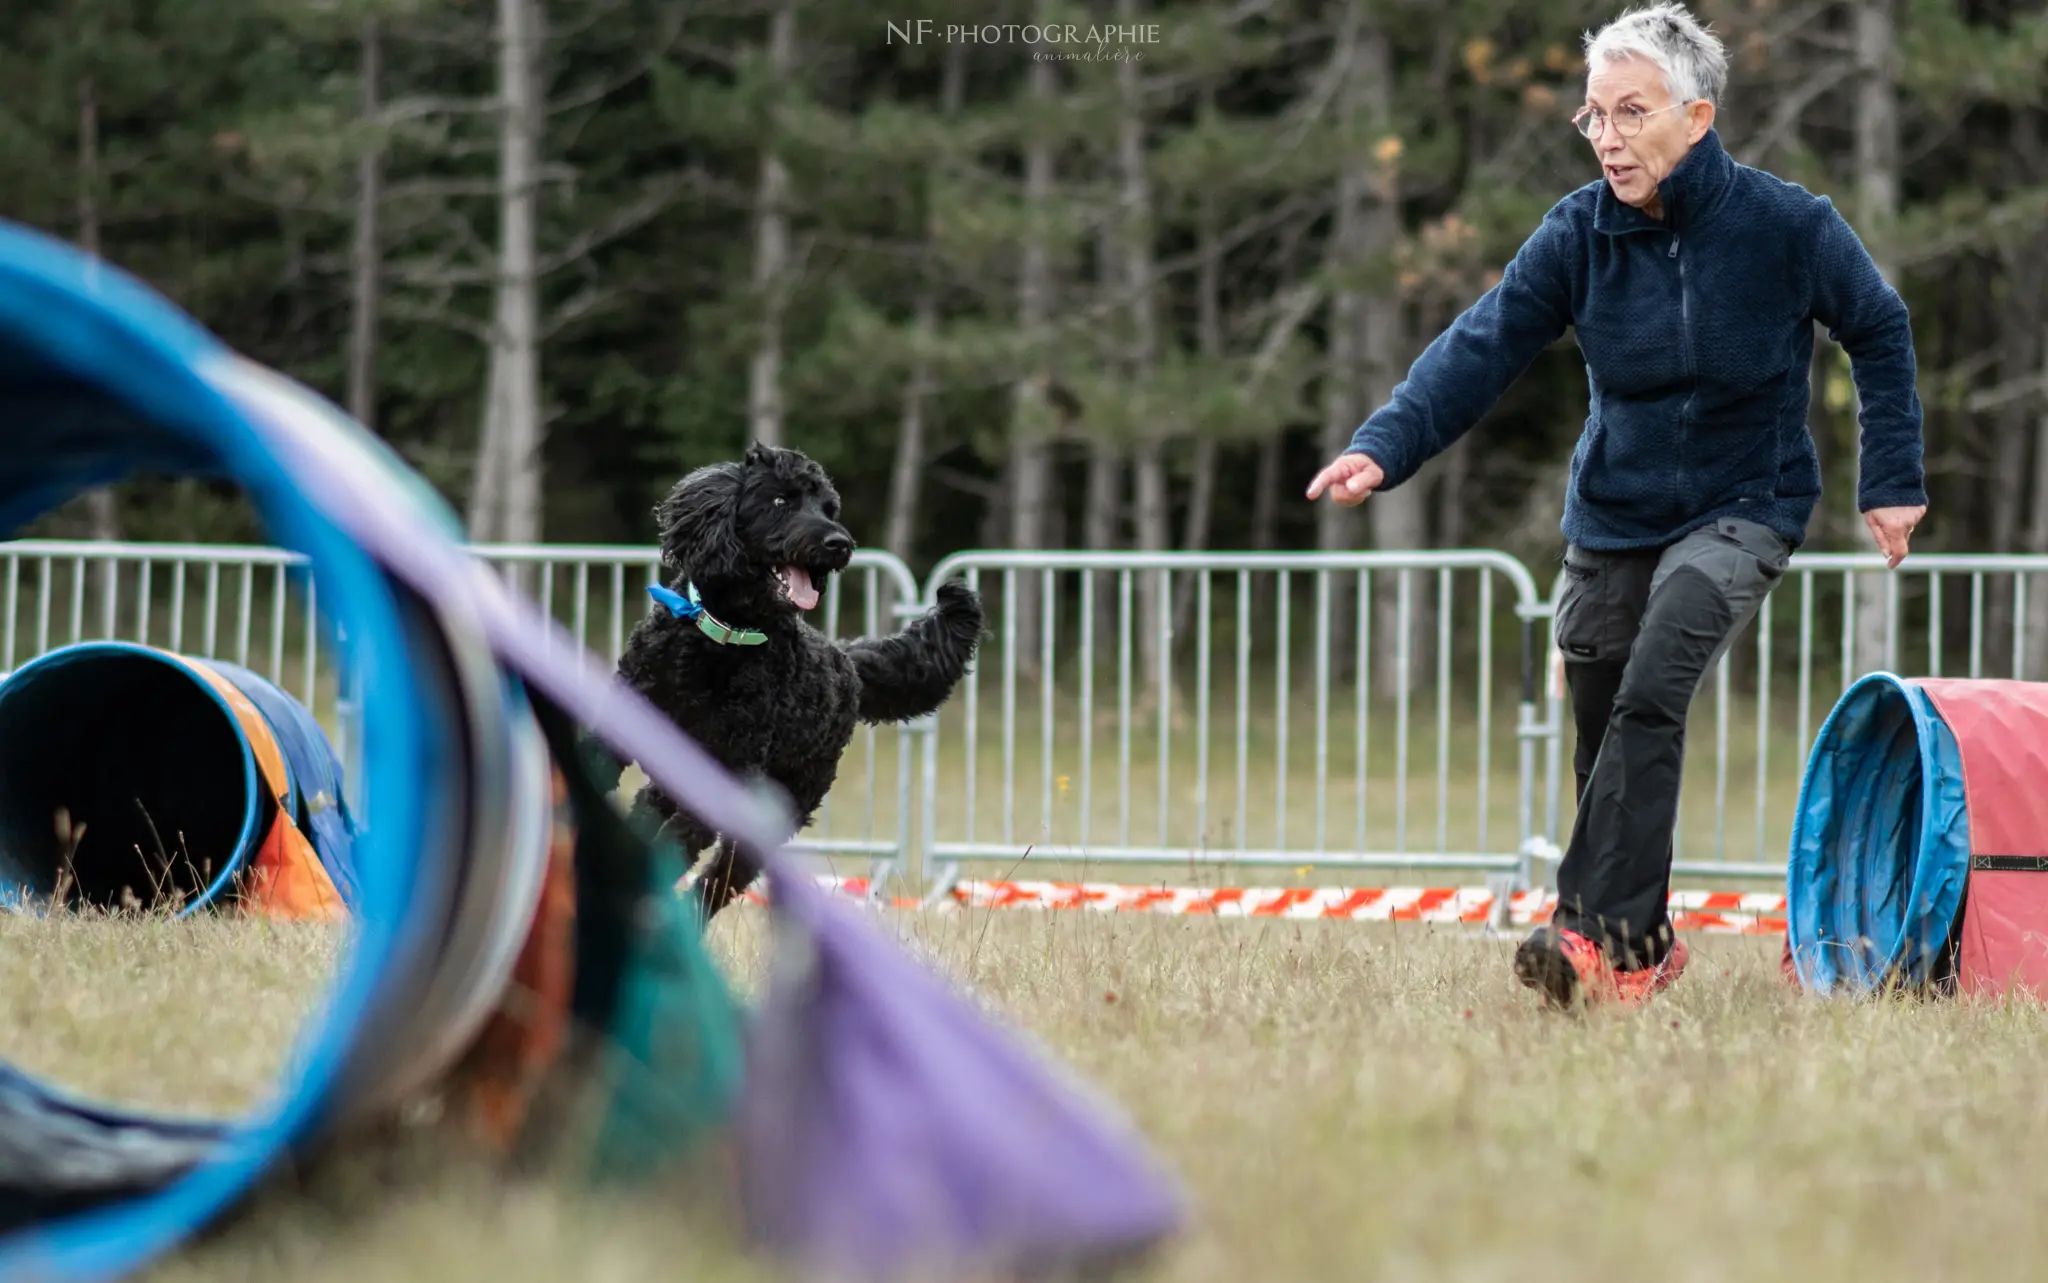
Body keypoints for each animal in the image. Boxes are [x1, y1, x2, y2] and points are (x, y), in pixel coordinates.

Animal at [606, 438, 983, 909]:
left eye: (829, 508)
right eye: (781, 501)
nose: (839, 542)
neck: (722, 638)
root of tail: (847, 661)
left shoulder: (726, 769)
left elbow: (680, 840)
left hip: (781, 802)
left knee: (721, 877)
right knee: (652, 811)